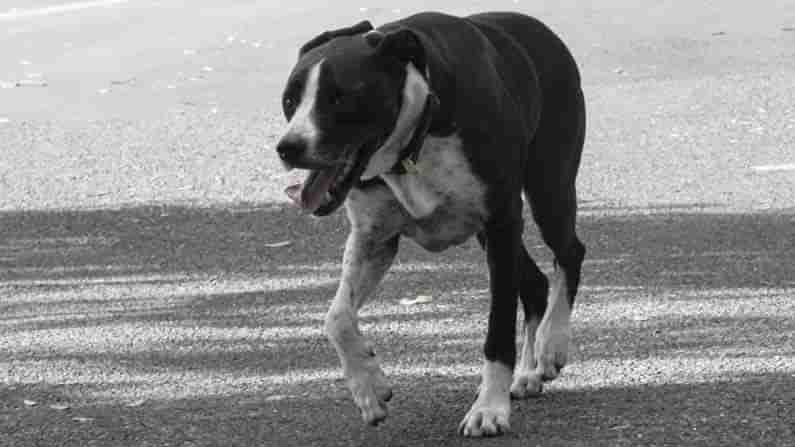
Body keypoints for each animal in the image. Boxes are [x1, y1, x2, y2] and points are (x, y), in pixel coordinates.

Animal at [276, 11, 588, 440]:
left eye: (340, 97)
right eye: (290, 100)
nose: (287, 148)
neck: (414, 140)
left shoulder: (502, 223)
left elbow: (497, 331)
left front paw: (489, 409)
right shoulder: (375, 238)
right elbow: (336, 317)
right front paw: (368, 387)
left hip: (548, 189)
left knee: (570, 252)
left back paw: (551, 343)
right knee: (535, 282)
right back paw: (527, 373)